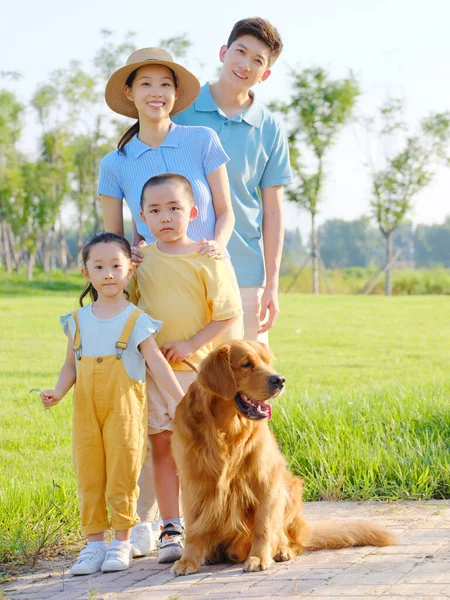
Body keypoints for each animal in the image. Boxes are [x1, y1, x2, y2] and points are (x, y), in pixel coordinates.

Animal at [171, 340, 396, 576]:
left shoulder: (266, 480)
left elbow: (263, 527)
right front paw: (188, 560)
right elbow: (193, 529)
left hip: (288, 489)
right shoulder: (193, 482)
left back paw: (282, 550)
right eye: (246, 364)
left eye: (267, 362)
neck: (225, 430)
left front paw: (259, 558)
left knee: (293, 540)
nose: (280, 380)